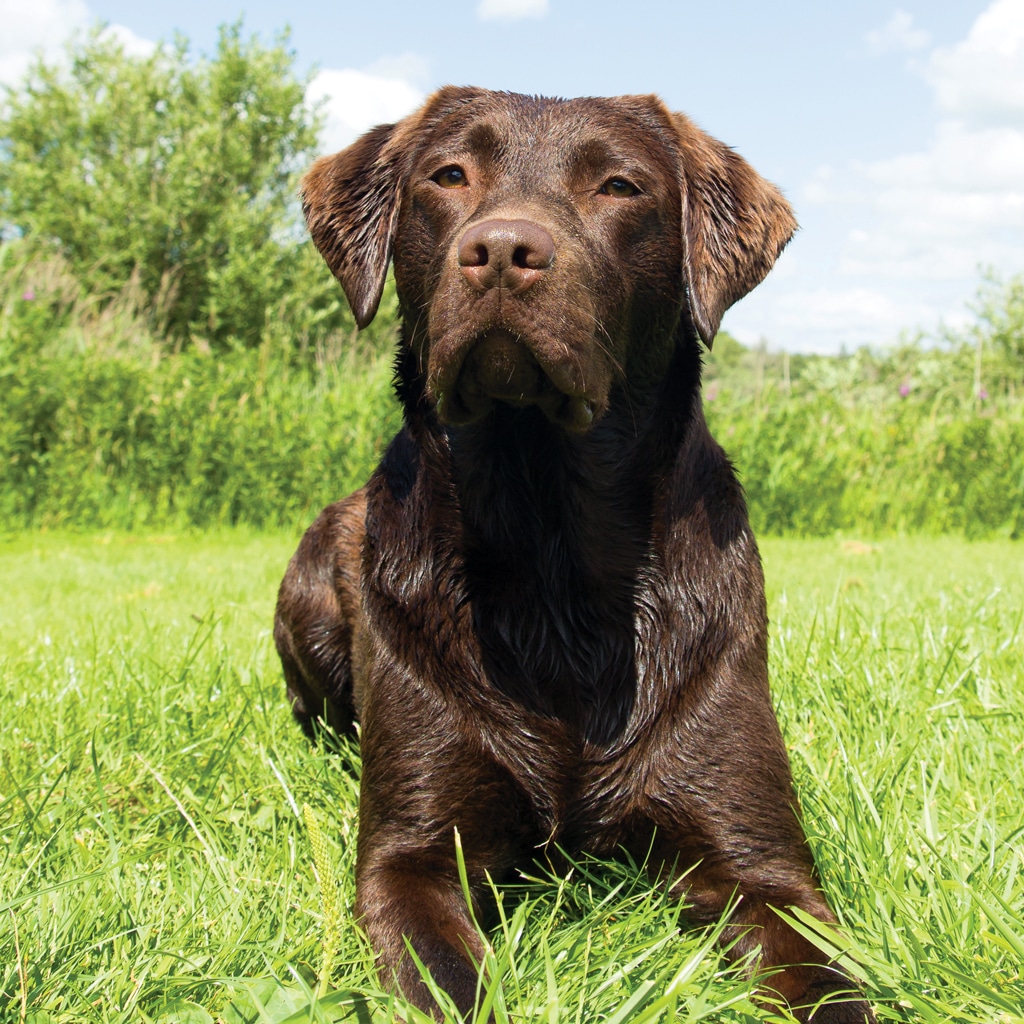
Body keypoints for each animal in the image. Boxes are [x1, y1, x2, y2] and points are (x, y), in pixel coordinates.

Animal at [274, 88, 872, 1024]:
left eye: (618, 186)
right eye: (449, 175)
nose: (501, 251)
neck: (552, 550)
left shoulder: (762, 869)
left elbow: (830, 983)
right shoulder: (410, 859)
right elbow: (448, 985)